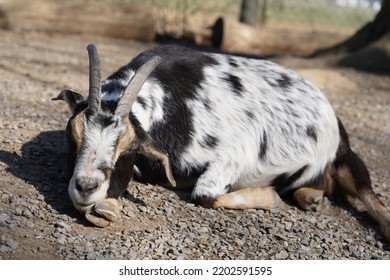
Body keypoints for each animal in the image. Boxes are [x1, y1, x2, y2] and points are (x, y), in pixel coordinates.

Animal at [52, 42, 390, 240]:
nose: (85, 187)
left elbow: (204, 195)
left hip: (349, 159)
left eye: (129, 149)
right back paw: (310, 197)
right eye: (72, 136)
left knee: (370, 197)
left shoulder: (235, 155)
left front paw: (269, 198)